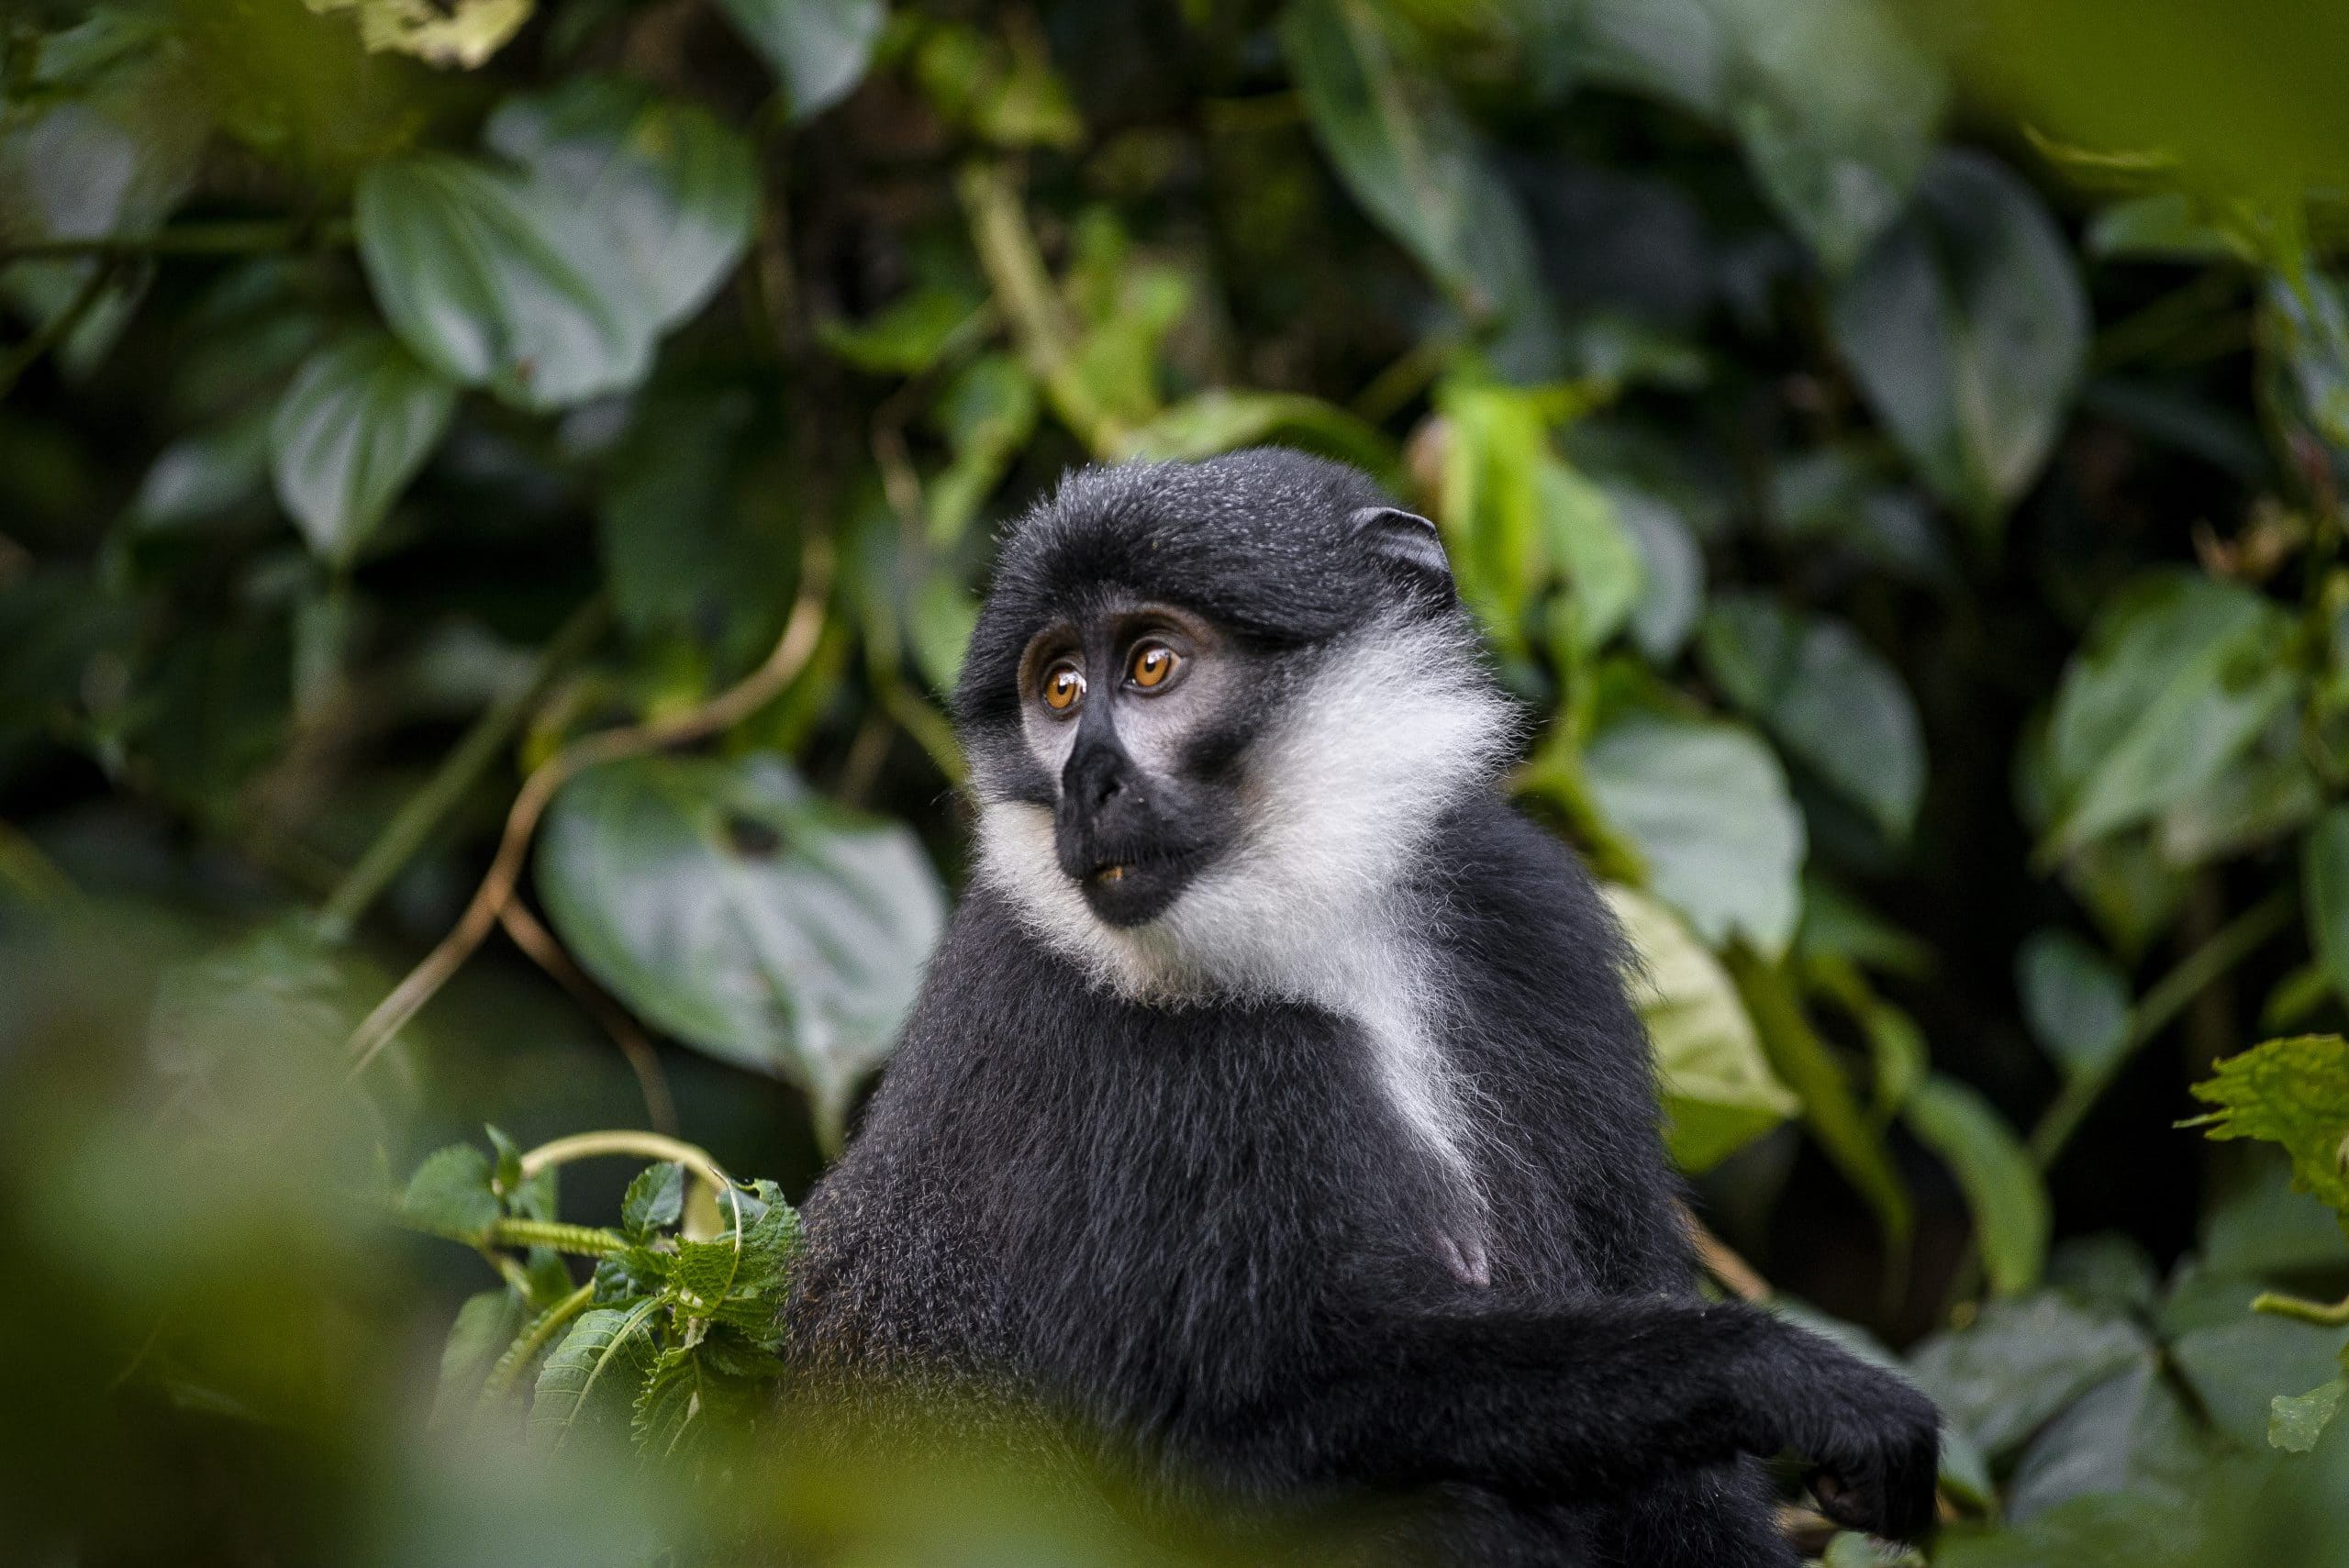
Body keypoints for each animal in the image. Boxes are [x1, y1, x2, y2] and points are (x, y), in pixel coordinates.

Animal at [779, 446, 1935, 1558]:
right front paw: (1774, 1371)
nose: (1085, 782)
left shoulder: (1529, 919)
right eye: (1058, 689)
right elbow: (1223, 1433)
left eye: (1150, 665)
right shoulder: (1092, 1023)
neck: (1316, 930)